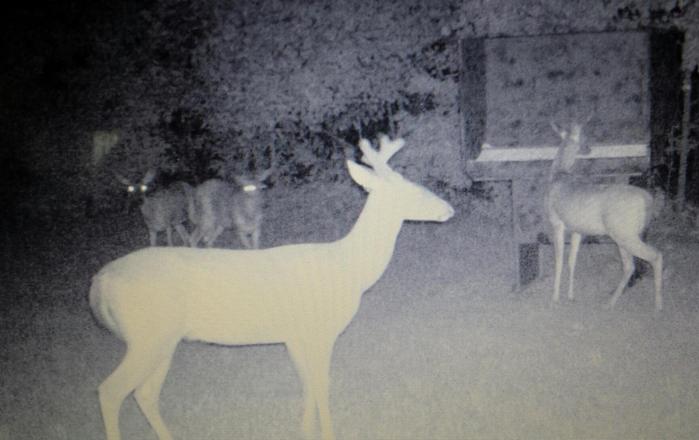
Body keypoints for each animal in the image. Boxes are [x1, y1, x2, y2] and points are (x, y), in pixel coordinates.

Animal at [89, 135, 454, 440]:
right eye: (410, 189)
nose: (449, 208)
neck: (348, 269)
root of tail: (99, 282)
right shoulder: (320, 330)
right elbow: (322, 385)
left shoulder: (294, 336)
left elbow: (308, 386)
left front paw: (304, 431)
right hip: (147, 336)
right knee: (110, 391)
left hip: (162, 339)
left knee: (144, 394)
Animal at [546, 121, 663, 311]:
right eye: (584, 137)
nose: (589, 148)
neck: (559, 174)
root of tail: (648, 200)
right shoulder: (578, 229)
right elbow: (572, 261)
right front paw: (570, 296)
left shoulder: (556, 221)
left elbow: (559, 261)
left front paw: (554, 298)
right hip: (629, 234)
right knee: (630, 266)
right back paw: (610, 302)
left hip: (624, 233)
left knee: (654, 256)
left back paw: (658, 305)